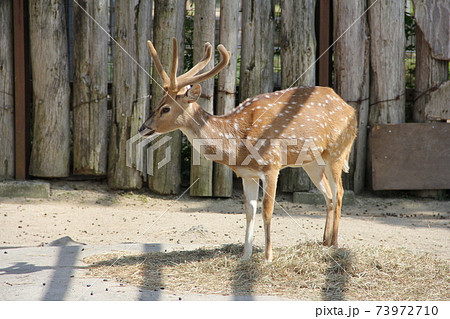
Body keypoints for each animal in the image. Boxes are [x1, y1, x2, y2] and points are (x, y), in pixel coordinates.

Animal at [139, 38, 356, 262]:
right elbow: (249, 211)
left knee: (339, 192)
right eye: (158, 102)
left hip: (337, 151)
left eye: (166, 108)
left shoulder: (272, 165)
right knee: (328, 195)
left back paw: (335, 244)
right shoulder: (247, 174)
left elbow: (267, 210)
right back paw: (324, 242)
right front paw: (245, 256)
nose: (143, 128)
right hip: (311, 162)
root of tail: (350, 108)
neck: (238, 144)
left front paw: (268, 257)